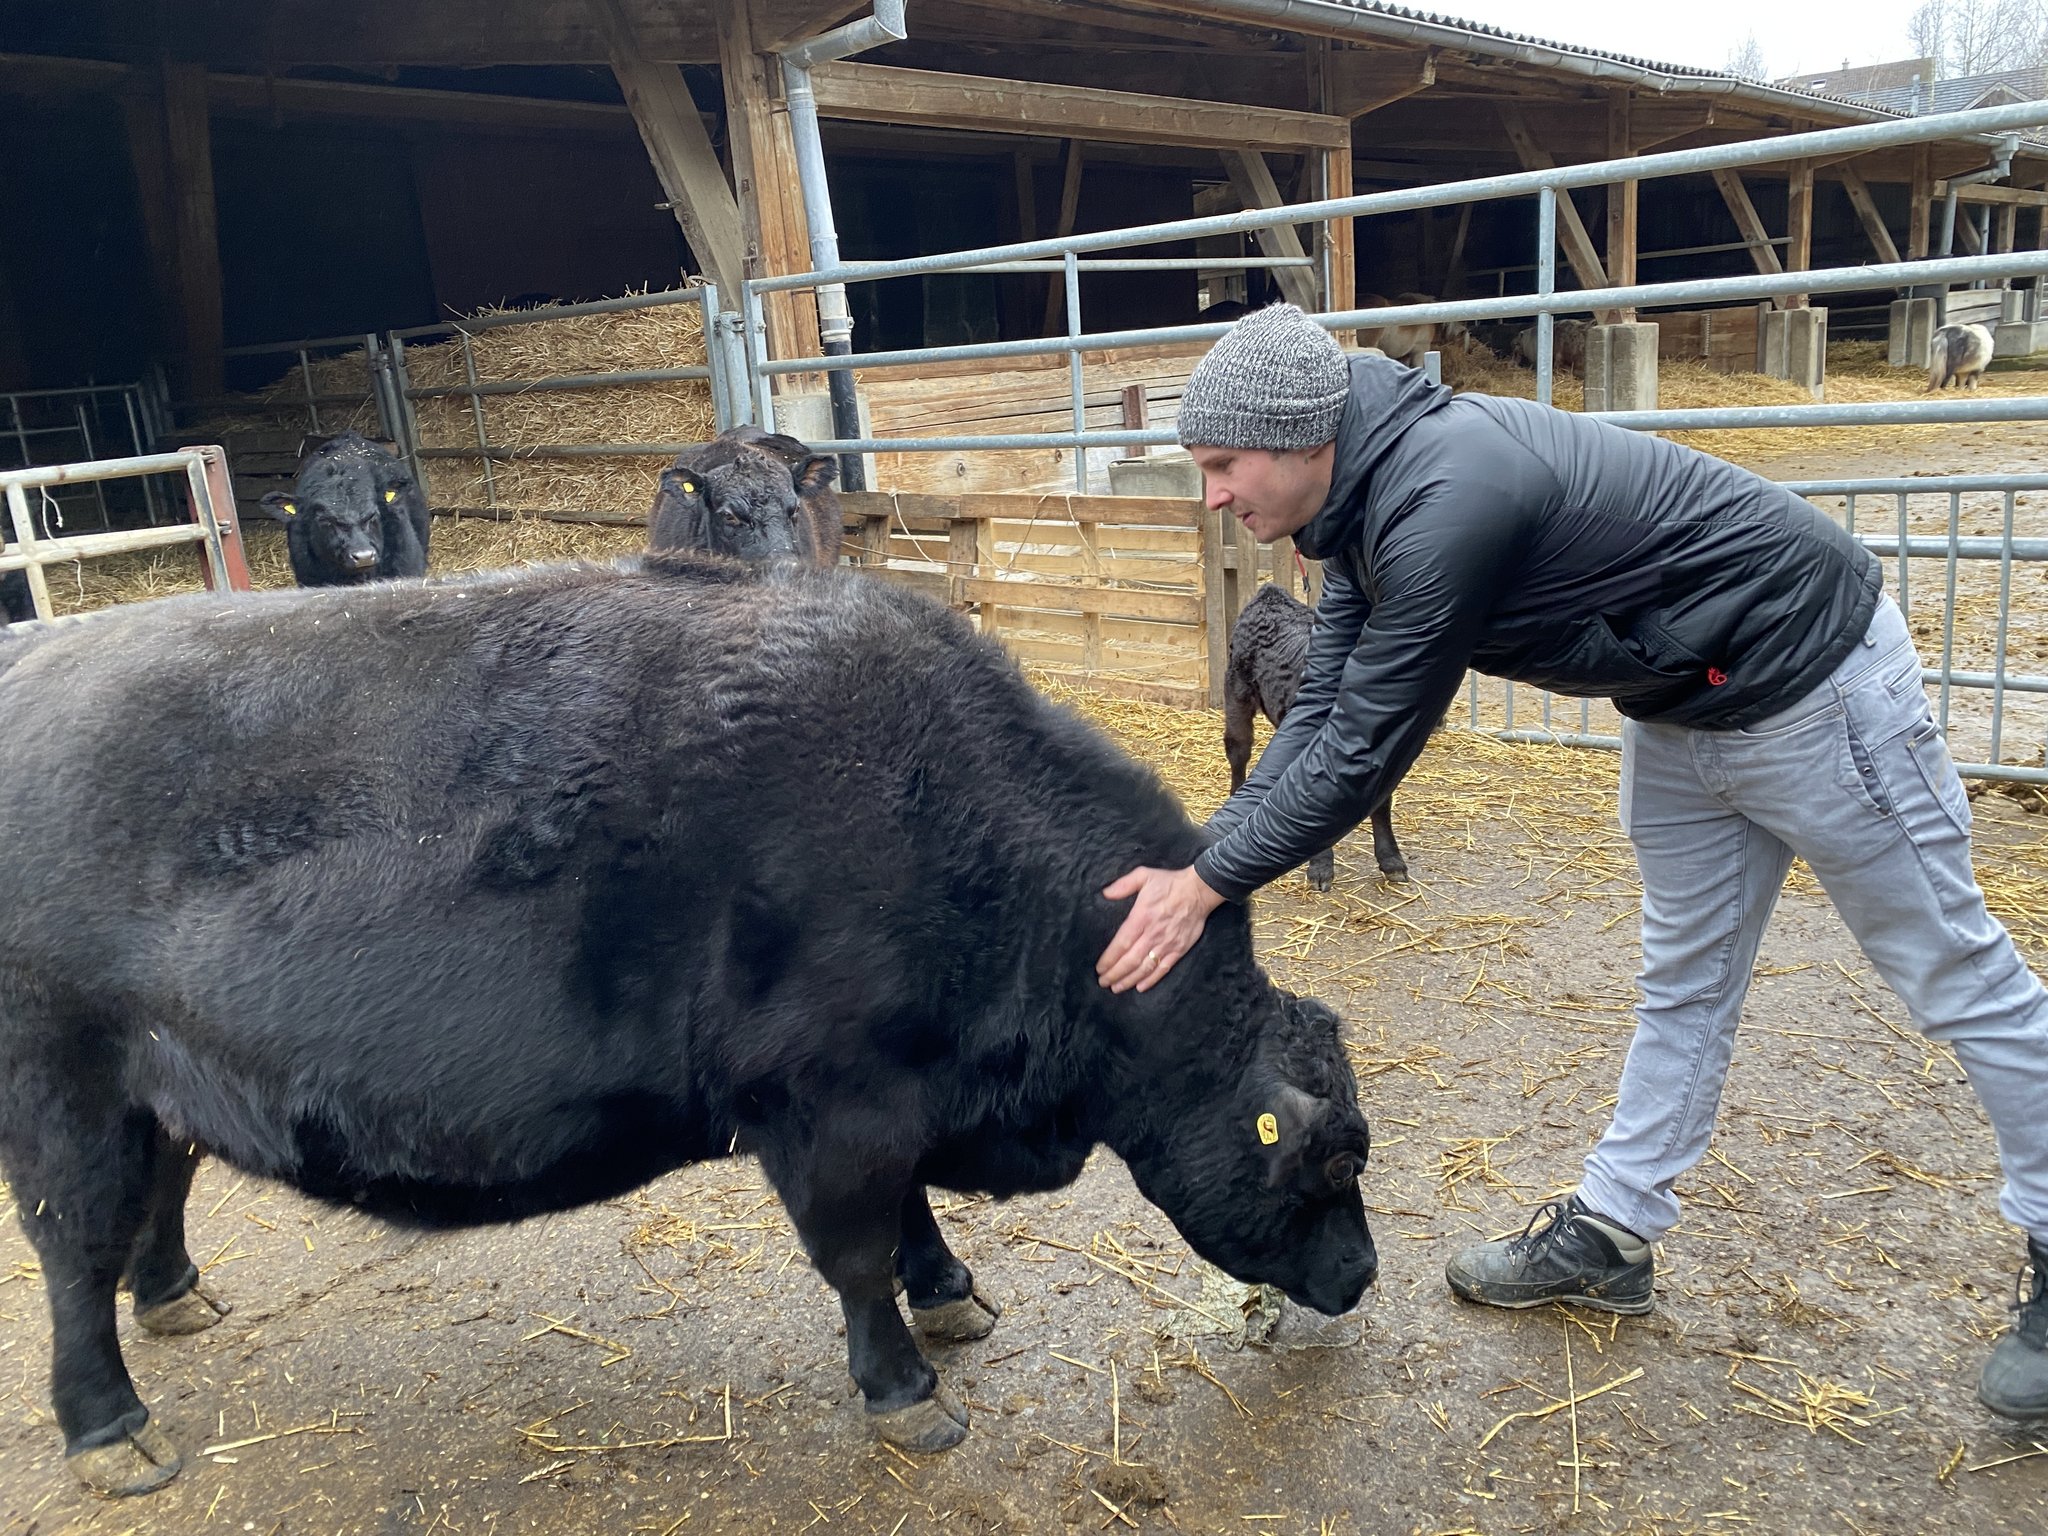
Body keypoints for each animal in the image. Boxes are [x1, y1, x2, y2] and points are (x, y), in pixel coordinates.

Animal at [0, 552, 1376, 1497]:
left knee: (158, 1192)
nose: (1363, 1275)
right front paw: (905, 1390)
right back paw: (109, 1427)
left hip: (166, 1079)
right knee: (72, 1248)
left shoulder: (891, 1100)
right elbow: (859, 1253)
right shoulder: (829, 1108)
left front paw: (951, 1293)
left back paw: (175, 1298)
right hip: (60, 1087)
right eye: (1324, 1159)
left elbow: (910, 1219)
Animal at [1224, 583, 1410, 888]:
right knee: (1238, 750)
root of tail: (1270, 593)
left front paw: (1392, 862)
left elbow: (1382, 803)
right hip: (1237, 693)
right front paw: (1321, 869)